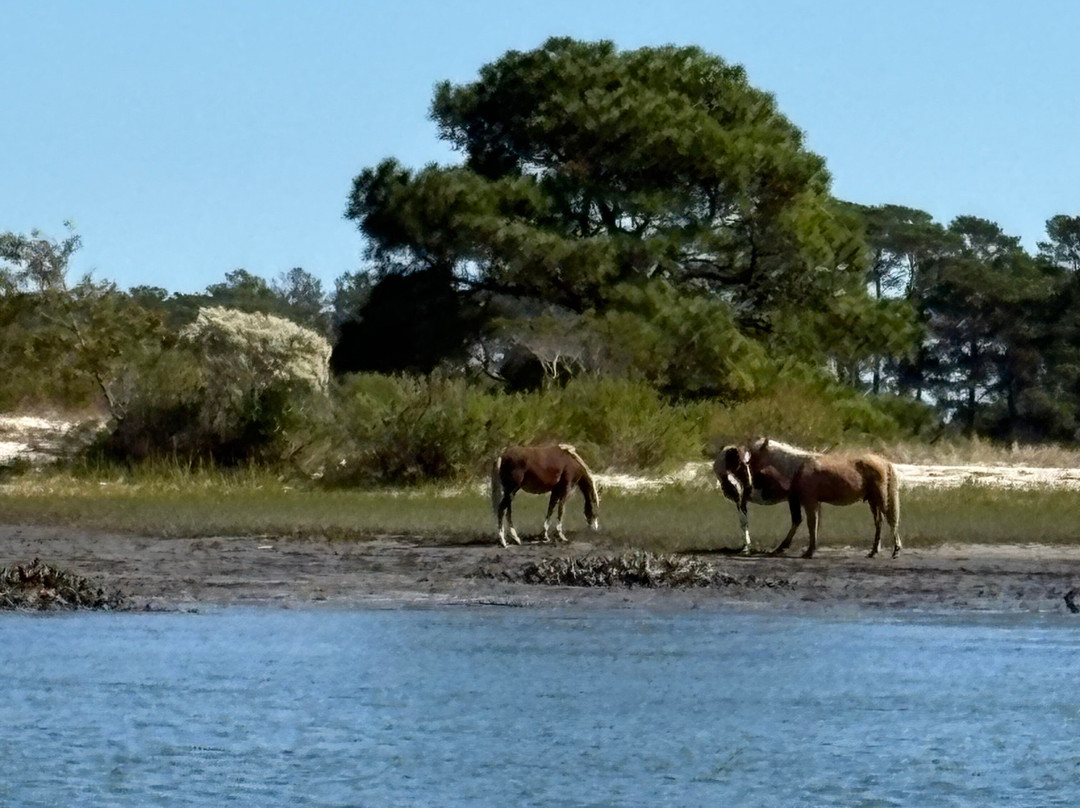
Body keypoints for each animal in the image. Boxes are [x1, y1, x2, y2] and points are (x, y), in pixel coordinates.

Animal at [746, 437, 902, 559]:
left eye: (754, 454)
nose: (751, 482)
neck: (798, 467)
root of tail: (884, 462)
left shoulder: (809, 502)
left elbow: (811, 524)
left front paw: (809, 552)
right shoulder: (808, 502)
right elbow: (809, 524)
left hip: (880, 498)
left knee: (890, 519)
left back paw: (896, 550)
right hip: (872, 500)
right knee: (879, 522)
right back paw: (873, 551)